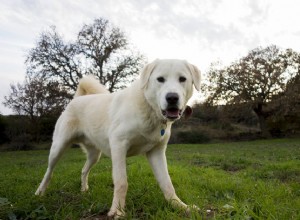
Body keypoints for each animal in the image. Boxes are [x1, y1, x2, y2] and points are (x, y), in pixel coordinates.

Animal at [35, 58, 202, 218]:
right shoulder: (119, 145)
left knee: (83, 170)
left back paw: (84, 189)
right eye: (160, 79)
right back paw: (40, 192)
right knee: (48, 171)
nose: (172, 98)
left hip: (94, 155)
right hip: (58, 147)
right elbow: (122, 182)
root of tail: (76, 99)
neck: (148, 108)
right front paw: (117, 211)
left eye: (182, 79)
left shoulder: (157, 152)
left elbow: (167, 183)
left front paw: (181, 206)